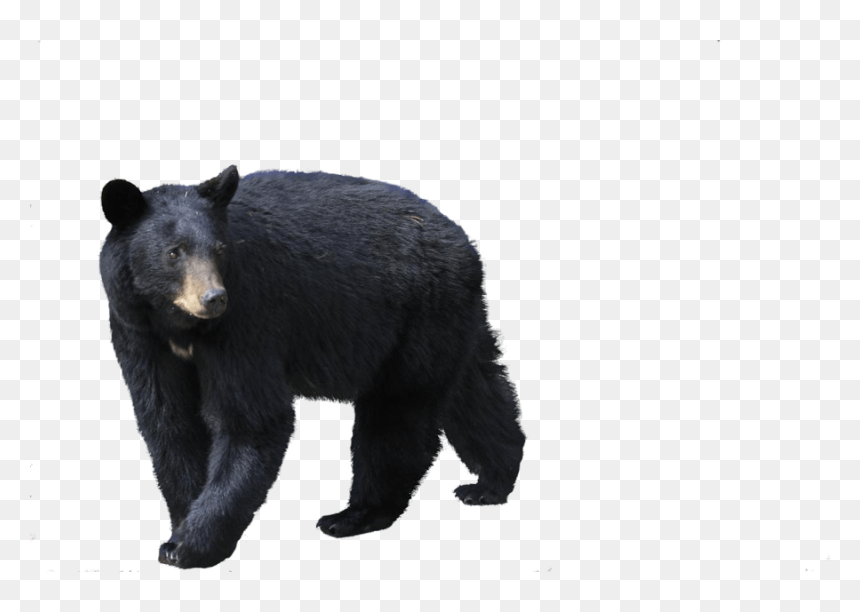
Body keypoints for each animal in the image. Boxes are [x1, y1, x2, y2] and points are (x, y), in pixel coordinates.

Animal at [99, 166, 526, 569]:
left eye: (219, 249)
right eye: (174, 252)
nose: (213, 298)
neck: (181, 325)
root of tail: (464, 242)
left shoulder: (247, 317)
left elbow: (250, 420)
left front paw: (190, 545)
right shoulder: (138, 331)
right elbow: (169, 420)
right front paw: (181, 525)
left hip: (417, 316)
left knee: (396, 415)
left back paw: (354, 515)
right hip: (452, 317)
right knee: (475, 389)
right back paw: (491, 482)